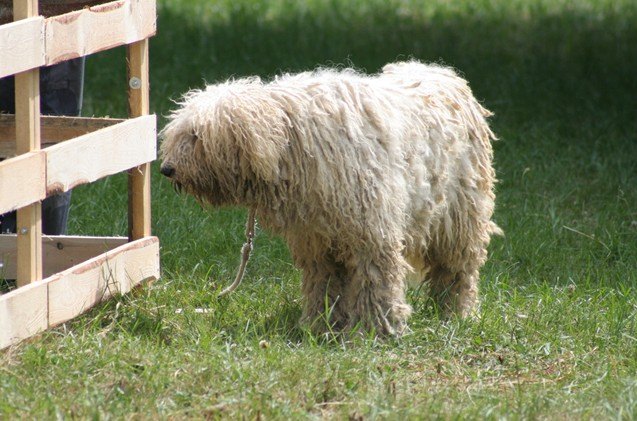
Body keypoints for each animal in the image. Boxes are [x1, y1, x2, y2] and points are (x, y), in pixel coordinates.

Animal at [158, 60, 496, 334]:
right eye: (180, 133)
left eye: (196, 136)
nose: (166, 169)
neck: (293, 142)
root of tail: (444, 74)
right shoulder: (317, 240)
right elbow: (325, 283)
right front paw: (322, 325)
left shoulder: (372, 233)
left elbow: (376, 280)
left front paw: (376, 329)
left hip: (459, 218)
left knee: (457, 271)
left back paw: (454, 313)